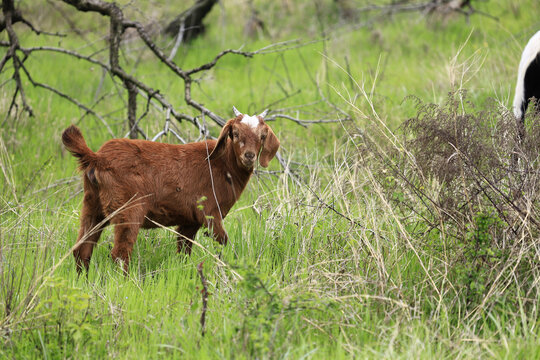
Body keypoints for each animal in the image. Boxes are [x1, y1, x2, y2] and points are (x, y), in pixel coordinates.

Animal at [63, 107, 280, 272]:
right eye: (235, 133)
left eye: (262, 136)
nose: (249, 156)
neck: (221, 164)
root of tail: (97, 158)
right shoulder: (210, 212)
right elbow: (224, 243)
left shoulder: (189, 221)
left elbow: (183, 252)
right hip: (128, 209)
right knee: (119, 254)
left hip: (92, 204)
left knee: (82, 249)